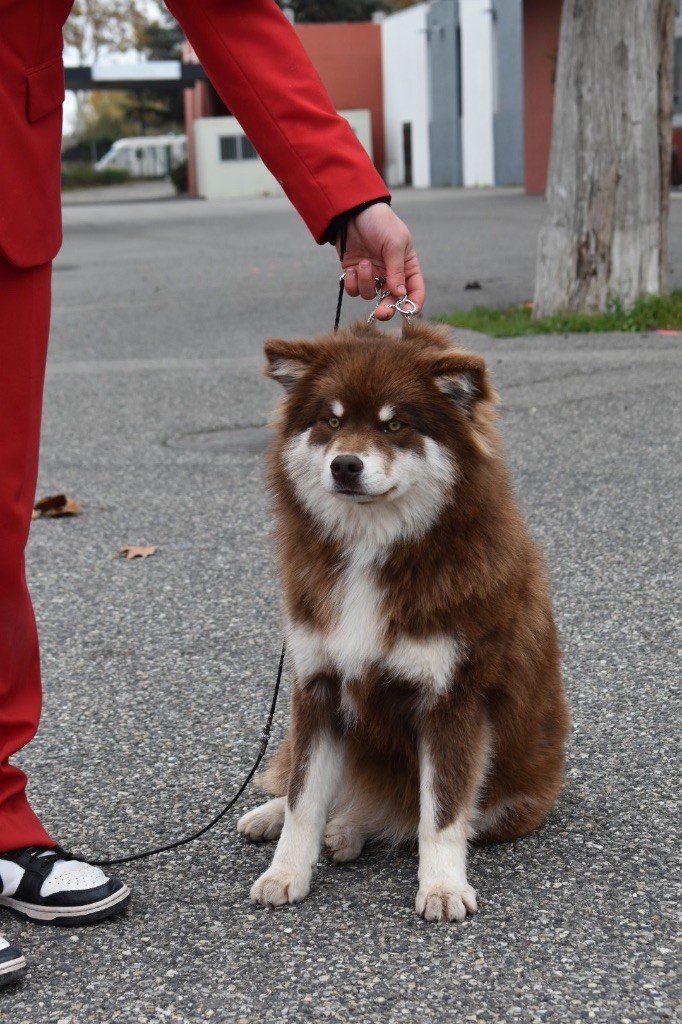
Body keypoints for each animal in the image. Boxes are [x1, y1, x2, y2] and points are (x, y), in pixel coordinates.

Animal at [236, 323, 565, 925]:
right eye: (331, 421)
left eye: (395, 425)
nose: (345, 465)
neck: (373, 550)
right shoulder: (318, 687)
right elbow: (303, 798)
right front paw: (285, 871)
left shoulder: (452, 700)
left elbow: (440, 813)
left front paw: (442, 887)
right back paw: (284, 818)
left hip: (510, 800)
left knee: (402, 813)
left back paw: (348, 829)